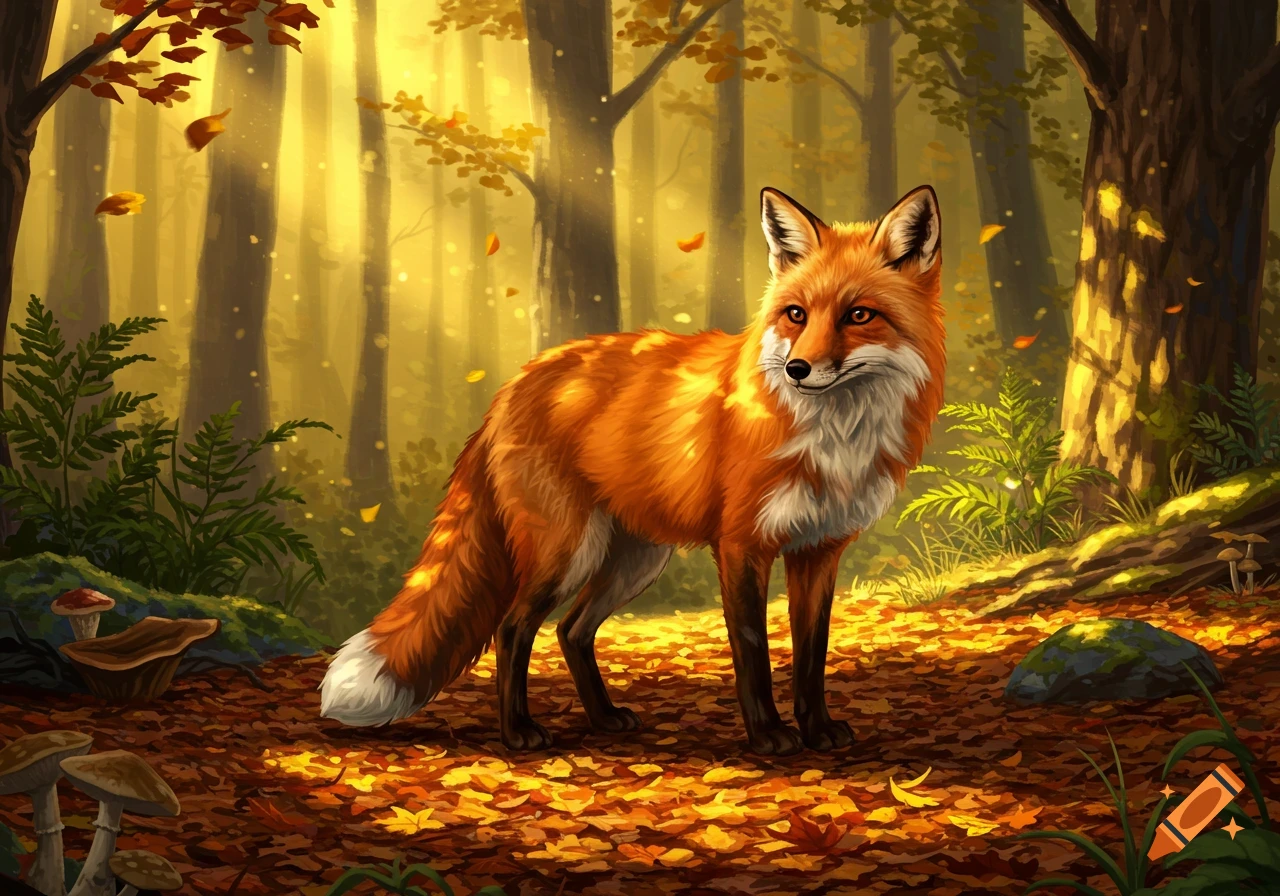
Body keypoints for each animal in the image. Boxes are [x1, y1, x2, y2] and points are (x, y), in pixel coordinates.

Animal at [320, 185, 947, 756]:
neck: (833, 437)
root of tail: (517, 381)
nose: (796, 369)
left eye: (858, 315)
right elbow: (753, 650)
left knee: (572, 630)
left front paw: (817, 730)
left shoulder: (819, 549)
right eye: (796, 315)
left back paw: (603, 718)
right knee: (514, 627)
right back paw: (518, 732)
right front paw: (769, 736)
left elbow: (811, 655)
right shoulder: (742, 544)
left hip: (634, 559)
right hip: (568, 551)